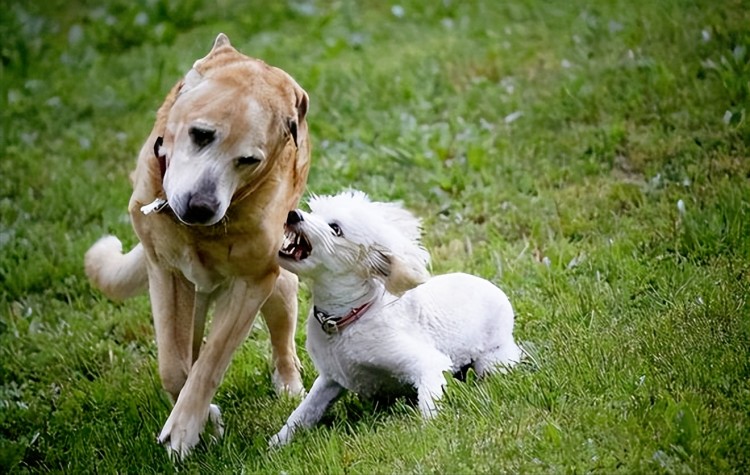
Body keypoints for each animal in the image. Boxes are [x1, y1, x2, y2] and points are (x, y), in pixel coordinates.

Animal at [85, 33, 312, 458]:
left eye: (248, 159)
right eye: (201, 134)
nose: (200, 207)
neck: (200, 232)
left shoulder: (252, 283)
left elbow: (210, 363)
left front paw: (185, 428)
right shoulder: (165, 272)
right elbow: (174, 366)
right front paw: (207, 419)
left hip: (275, 290)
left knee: (282, 330)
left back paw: (289, 384)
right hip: (193, 296)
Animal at [270, 192, 524, 448]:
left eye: (335, 228)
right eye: (315, 211)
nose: (292, 214)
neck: (346, 319)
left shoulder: (427, 364)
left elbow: (429, 405)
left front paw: (429, 433)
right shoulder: (330, 380)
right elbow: (303, 413)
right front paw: (277, 443)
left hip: (493, 360)